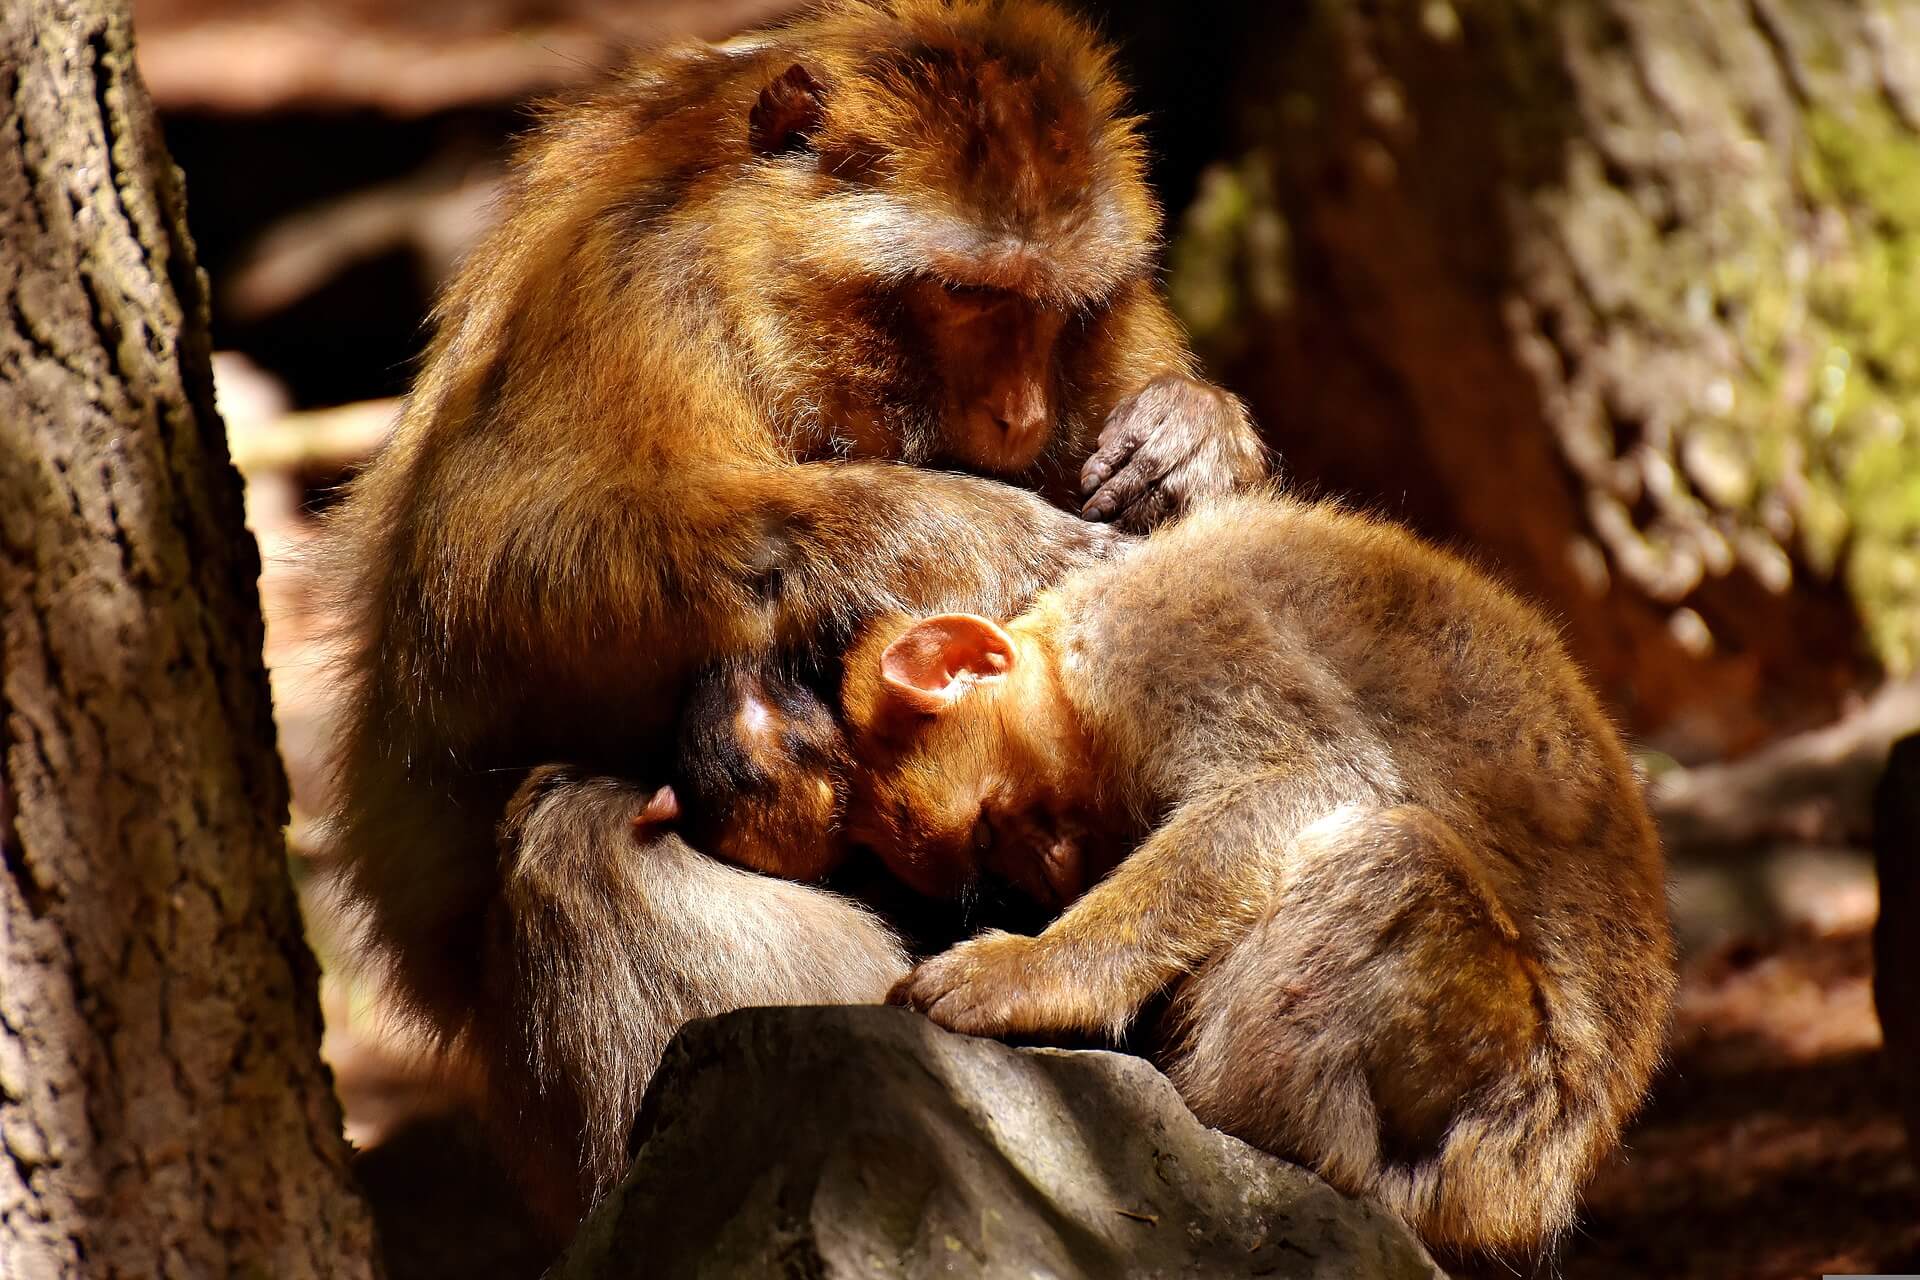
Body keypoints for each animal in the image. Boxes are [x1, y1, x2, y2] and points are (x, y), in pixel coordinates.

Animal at [322, 0, 1267, 1228]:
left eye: (1054, 308)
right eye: (967, 294)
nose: (1018, 417)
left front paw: (1192, 440)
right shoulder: (635, 286)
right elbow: (477, 587)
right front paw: (966, 536)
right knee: (583, 836)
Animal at [844, 495, 1681, 1258]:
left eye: (991, 830)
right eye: (995, 856)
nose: (1050, 872)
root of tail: (1534, 1191)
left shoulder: (1169, 634)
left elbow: (1302, 776)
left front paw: (1033, 973)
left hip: (1502, 1094)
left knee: (1390, 858)